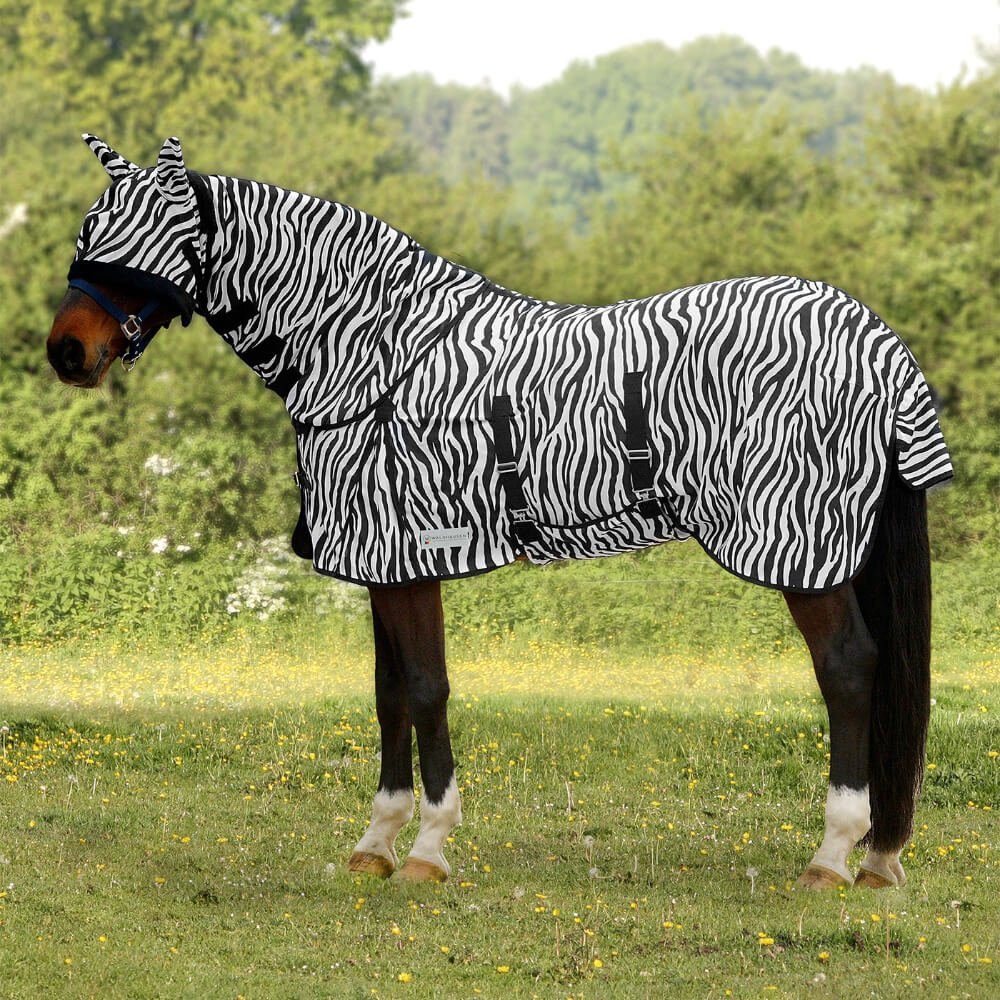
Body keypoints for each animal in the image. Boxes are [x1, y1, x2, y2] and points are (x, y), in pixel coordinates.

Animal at [46, 135, 952, 888]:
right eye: (91, 228)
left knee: (849, 671)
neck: (375, 355)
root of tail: (878, 342)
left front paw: (427, 848)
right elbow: (387, 693)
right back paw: (878, 857)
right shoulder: (384, 563)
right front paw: (375, 844)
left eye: (143, 241)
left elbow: (425, 688)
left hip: (806, 550)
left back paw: (833, 856)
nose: (67, 351)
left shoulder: (410, 555)